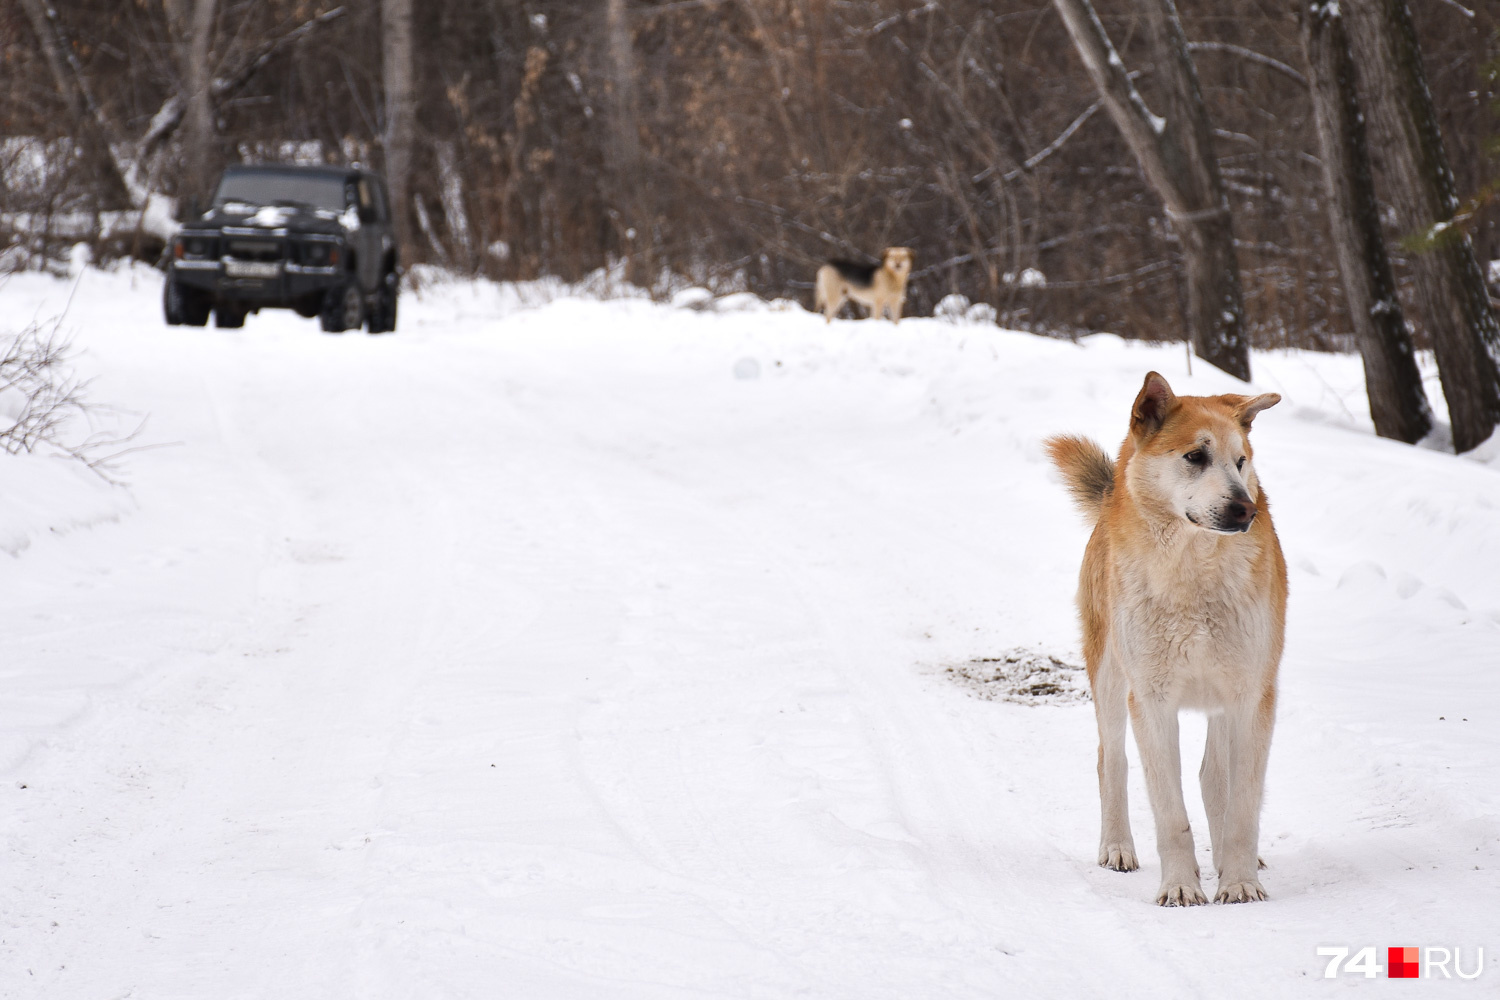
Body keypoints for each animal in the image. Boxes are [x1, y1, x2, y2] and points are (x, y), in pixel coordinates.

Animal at [1050, 373, 1284, 905]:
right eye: (1195, 456)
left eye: (1240, 461)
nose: (1245, 509)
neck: (1191, 576)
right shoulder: (1152, 701)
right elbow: (1171, 814)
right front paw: (1180, 886)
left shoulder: (1250, 696)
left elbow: (1242, 804)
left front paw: (1240, 880)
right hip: (1110, 680)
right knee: (1110, 760)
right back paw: (1117, 847)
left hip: (1224, 700)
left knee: (1213, 779)